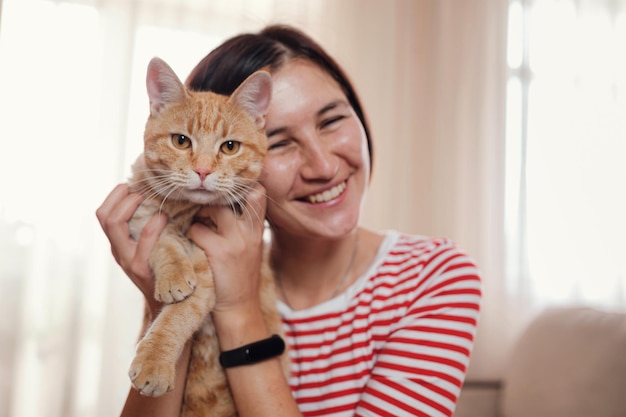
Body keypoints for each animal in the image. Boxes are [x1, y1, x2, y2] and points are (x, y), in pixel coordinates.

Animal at [127, 56, 288, 416]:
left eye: (230, 147)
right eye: (181, 141)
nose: (202, 170)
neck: (184, 211)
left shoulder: (211, 272)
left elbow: (176, 317)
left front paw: (154, 363)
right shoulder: (143, 221)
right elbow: (164, 243)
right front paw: (173, 274)